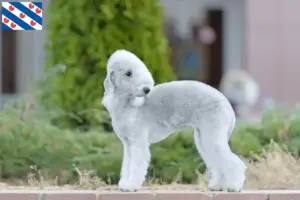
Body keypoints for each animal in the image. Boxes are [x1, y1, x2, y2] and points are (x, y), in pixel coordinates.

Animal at [101, 48, 246, 192]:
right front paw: (124, 184)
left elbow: (135, 165)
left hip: (213, 133)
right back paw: (217, 186)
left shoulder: (138, 141)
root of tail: (227, 104)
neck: (127, 103)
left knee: (234, 162)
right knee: (216, 161)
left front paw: (130, 186)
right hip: (204, 138)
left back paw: (234, 186)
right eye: (128, 73)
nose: (147, 89)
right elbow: (127, 165)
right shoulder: (128, 144)